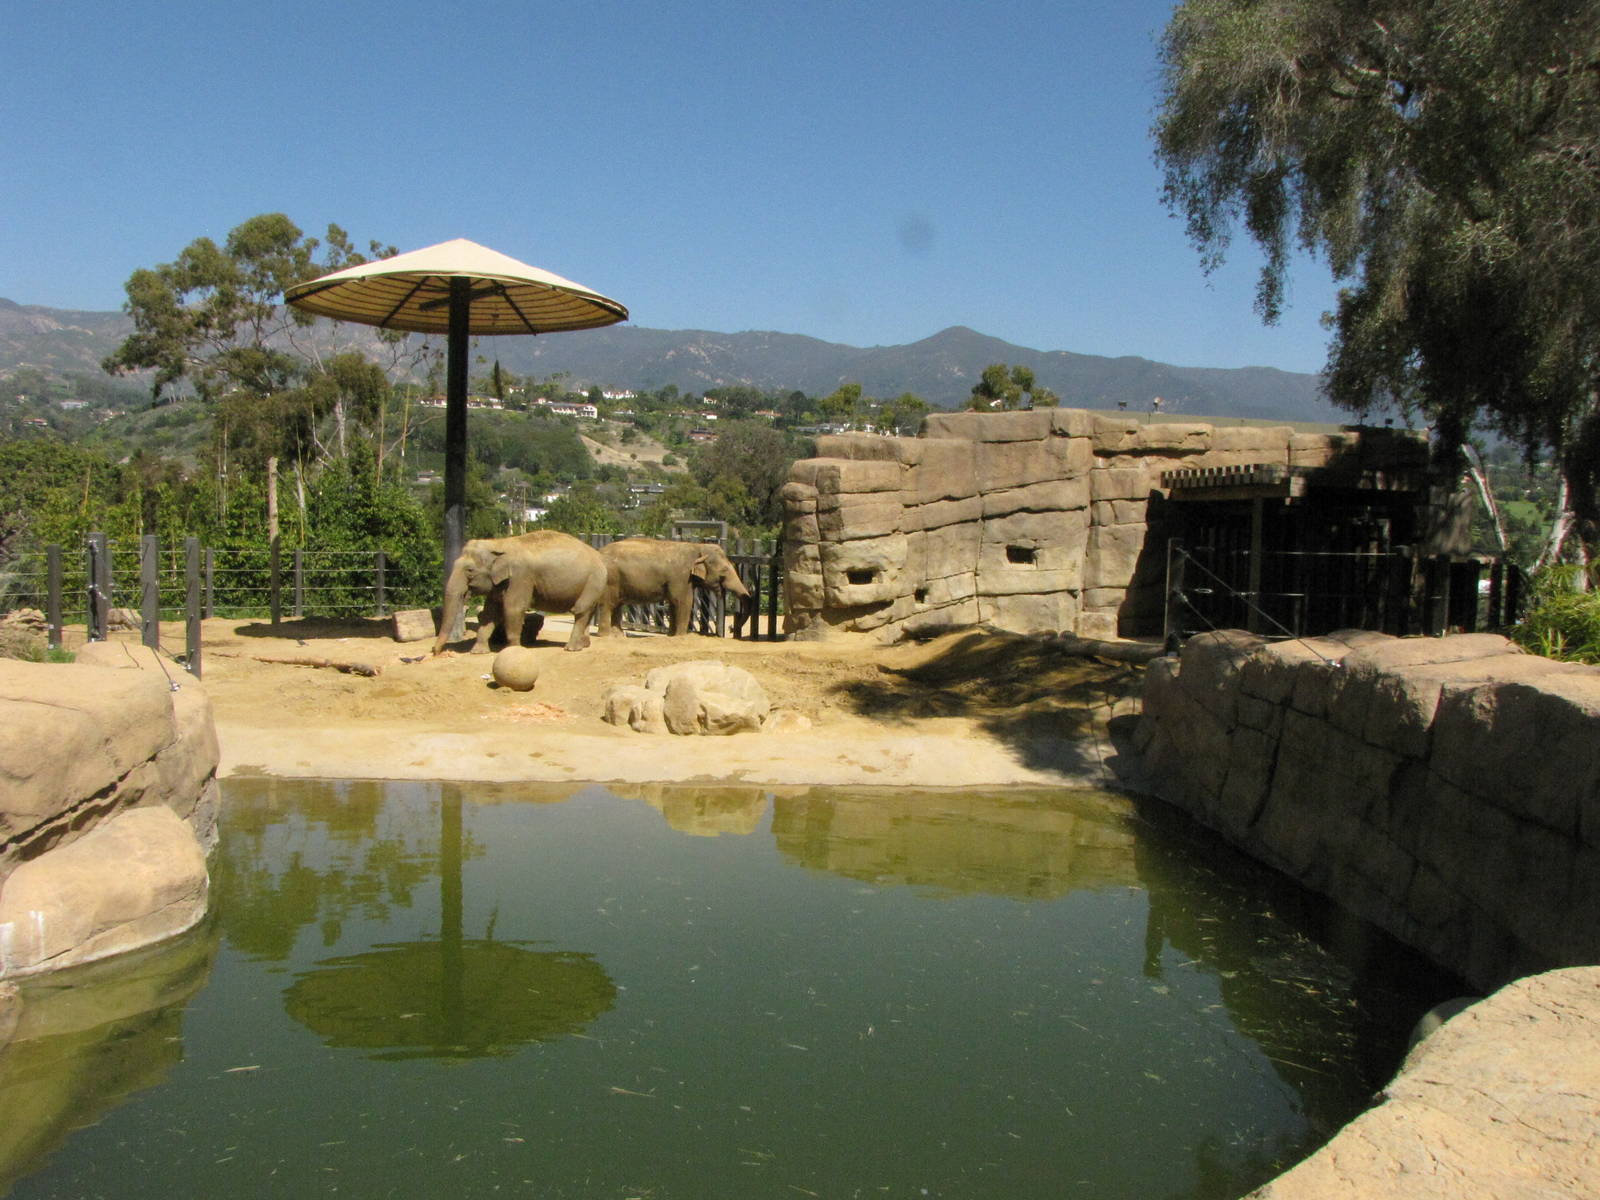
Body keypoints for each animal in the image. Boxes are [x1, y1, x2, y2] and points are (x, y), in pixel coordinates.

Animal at [433, 531, 608, 655]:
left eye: (470, 570)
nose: (434, 651)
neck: (499, 543)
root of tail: (599, 555)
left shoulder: (520, 577)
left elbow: (513, 609)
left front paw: (513, 650)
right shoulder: (499, 583)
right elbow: (490, 613)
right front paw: (478, 652)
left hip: (594, 579)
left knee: (580, 609)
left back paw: (571, 648)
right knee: (588, 610)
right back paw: (583, 645)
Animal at [595, 538, 752, 637]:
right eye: (724, 571)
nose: (731, 629)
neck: (697, 547)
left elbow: (673, 603)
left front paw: (671, 635)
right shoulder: (681, 576)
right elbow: (683, 602)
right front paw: (681, 636)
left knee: (617, 605)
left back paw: (618, 636)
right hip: (609, 580)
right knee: (608, 604)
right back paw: (606, 636)